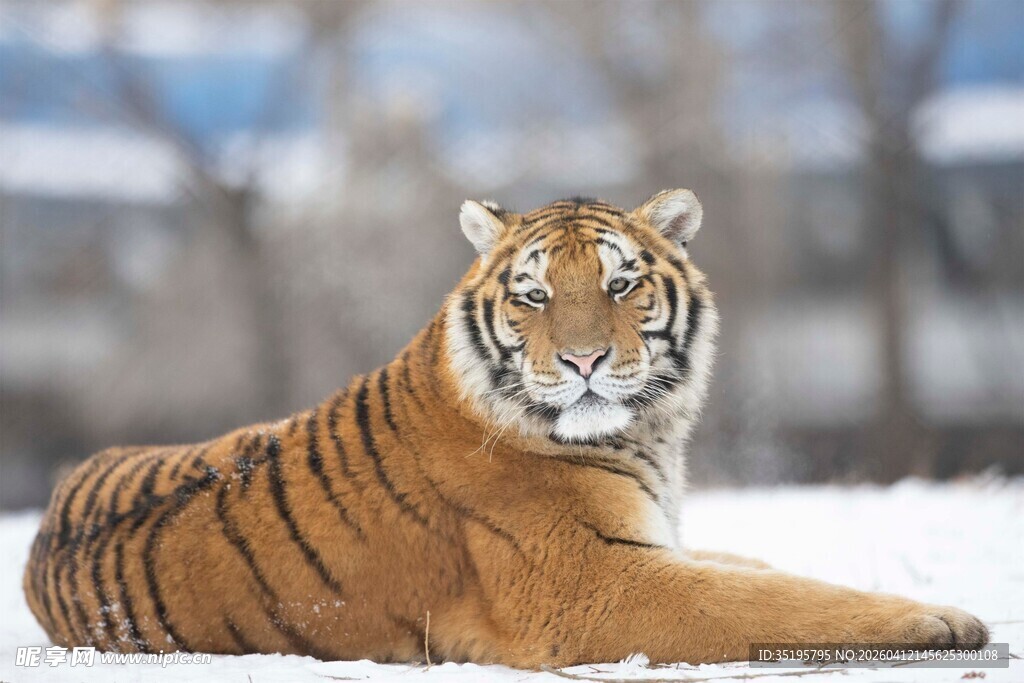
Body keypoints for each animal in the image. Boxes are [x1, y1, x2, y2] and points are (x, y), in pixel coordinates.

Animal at [24, 190, 988, 667]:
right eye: (533, 294)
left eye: (621, 284)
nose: (585, 360)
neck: (645, 436)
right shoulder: (598, 584)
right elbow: (776, 602)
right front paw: (945, 620)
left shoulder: (654, 542)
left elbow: (771, 571)